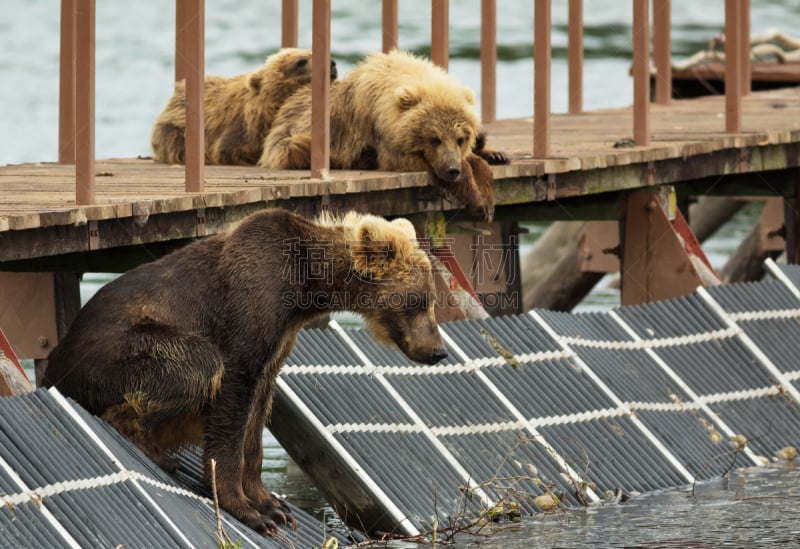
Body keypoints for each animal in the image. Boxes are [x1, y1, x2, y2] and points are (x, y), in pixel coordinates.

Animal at [42, 209, 450, 536]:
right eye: (418, 300)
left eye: (432, 298)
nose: (437, 351)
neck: (306, 285)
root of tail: (53, 365)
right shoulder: (249, 308)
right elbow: (231, 399)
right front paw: (249, 511)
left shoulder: (280, 339)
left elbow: (257, 416)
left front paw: (273, 504)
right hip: (121, 350)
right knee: (197, 363)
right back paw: (157, 450)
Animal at [262, 49, 512, 220]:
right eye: (434, 138)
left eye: (461, 138)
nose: (452, 170)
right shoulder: (385, 138)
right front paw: (478, 201)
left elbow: (474, 161)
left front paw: (487, 194)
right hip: (295, 136)